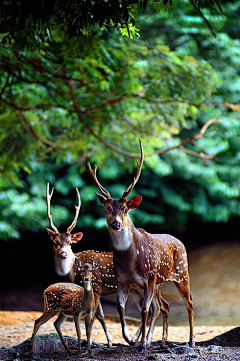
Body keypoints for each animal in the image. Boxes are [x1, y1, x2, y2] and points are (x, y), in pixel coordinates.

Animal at [46, 183, 170, 346]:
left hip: (153, 285)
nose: (63, 254)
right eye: (55, 242)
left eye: (70, 243)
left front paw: (102, 342)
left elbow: (96, 315)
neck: (74, 271)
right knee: (159, 307)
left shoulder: (96, 285)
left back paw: (143, 340)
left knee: (158, 307)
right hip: (139, 289)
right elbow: (98, 315)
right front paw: (105, 342)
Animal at [87, 139, 194, 352]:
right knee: (163, 306)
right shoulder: (123, 281)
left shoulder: (149, 277)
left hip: (181, 273)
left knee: (188, 302)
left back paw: (191, 340)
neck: (130, 262)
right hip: (160, 282)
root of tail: (180, 242)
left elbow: (144, 311)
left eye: (125, 209)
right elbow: (121, 308)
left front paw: (142, 344)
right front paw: (129, 339)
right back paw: (160, 340)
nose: (116, 224)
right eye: (105, 210)